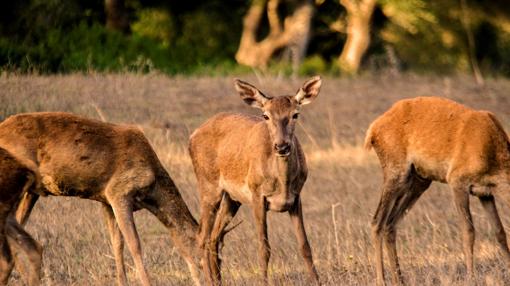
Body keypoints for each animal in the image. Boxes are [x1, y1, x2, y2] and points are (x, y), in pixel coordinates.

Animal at [189, 75, 320, 284]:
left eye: (295, 114)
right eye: (265, 115)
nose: (282, 146)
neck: (282, 183)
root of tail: (192, 135)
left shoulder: (296, 197)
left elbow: (305, 246)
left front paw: (317, 280)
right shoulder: (257, 194)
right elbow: (264, 248)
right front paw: (264, 282)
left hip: (232, 198)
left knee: (214, 237)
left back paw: (218, 280)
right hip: (208, 184)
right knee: (202, 236)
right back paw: (209, 280)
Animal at [364, 96, 510, 286]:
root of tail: (372, 130)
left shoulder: (485, 193)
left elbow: (500, 232)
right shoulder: (457, 180)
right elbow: (469, 231)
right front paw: (471, 277)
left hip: (419, 180)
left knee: (390, 223)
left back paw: (399, 279)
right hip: (395, 170)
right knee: (377, 221)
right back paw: (381, 280)